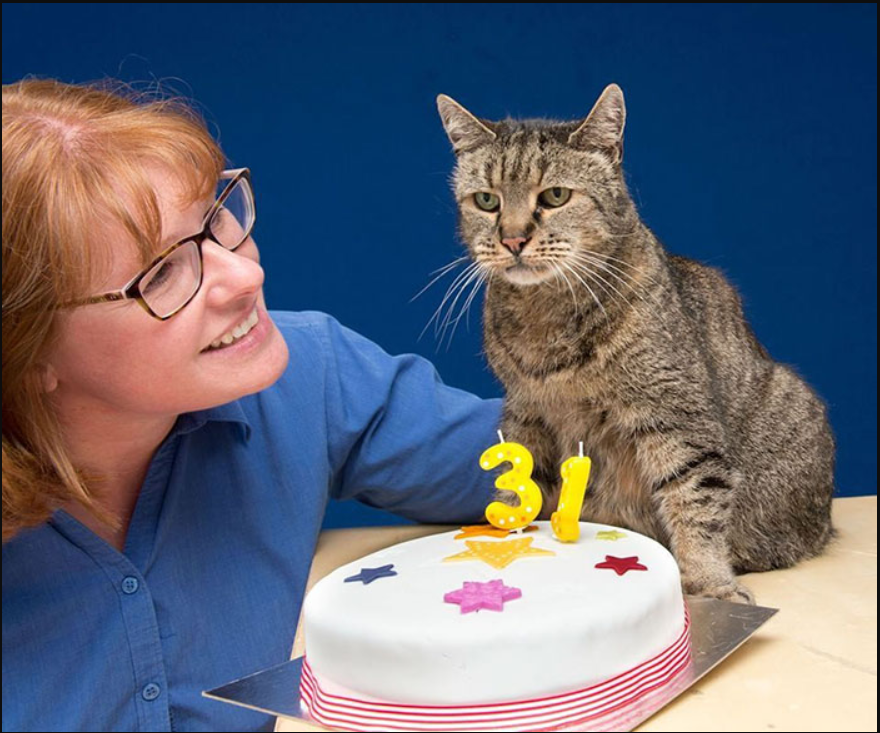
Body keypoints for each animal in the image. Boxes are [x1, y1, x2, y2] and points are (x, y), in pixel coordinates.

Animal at [436, 86, 836, 600]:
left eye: (555, 195)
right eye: (486, 201)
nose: (512, 239)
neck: (546, 316)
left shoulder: (675, 414)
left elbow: (694, 500)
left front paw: (709, 583)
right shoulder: (526, 412)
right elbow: (517, 490)